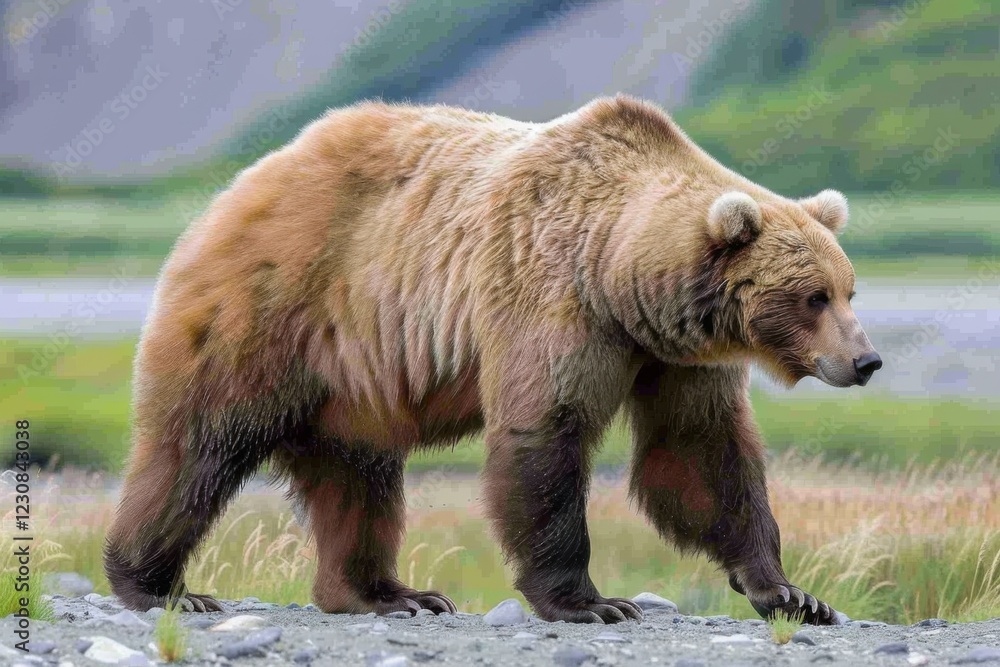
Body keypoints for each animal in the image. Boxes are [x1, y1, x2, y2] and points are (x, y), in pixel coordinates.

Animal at [104, 95, 881, 625]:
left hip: (352, 380)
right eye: (812, 296)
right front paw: (592, 601)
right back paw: (159, 585)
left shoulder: (676, 355)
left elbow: (700, 453)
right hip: (273, 306)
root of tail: (237, 185)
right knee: (200, 446)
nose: (866, 359)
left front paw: (791, 591)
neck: (622, 277)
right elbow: (545, 433)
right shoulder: (551, 298)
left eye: (848, 288)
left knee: (359, 478)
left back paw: (389, 593)